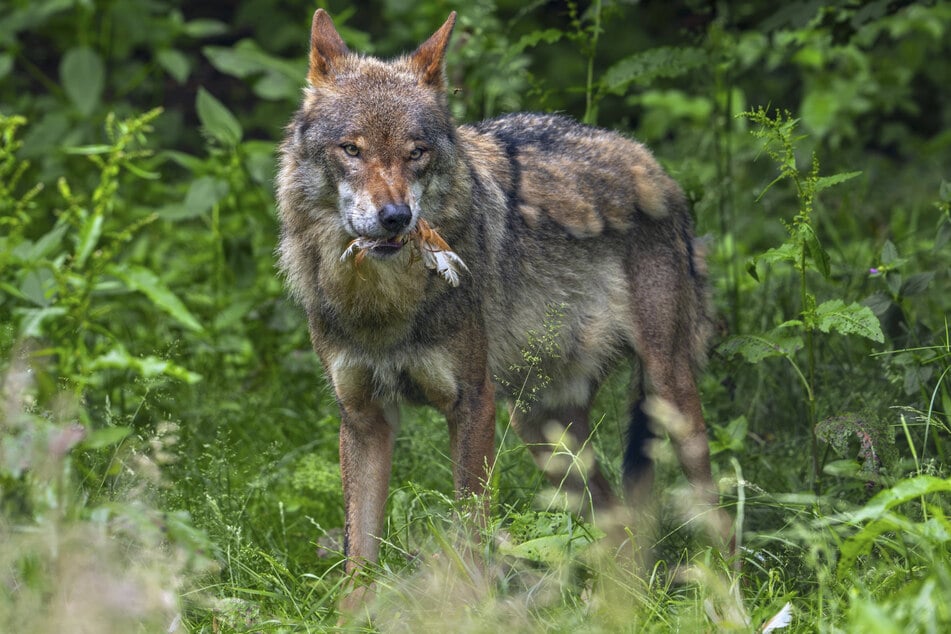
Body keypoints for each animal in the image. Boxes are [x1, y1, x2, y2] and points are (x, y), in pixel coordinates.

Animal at [276, 9, 731, 590]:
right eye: (351, 150)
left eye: (416, 152)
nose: (396, 217)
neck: (384, 306)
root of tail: (653, 166)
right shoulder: (363, 417)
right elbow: (360, 556)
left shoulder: (472, 403)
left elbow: (470, 533)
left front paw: (468, 602)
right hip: (542, 429)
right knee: (617, 522)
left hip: (666, 396)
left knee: (717, 515)